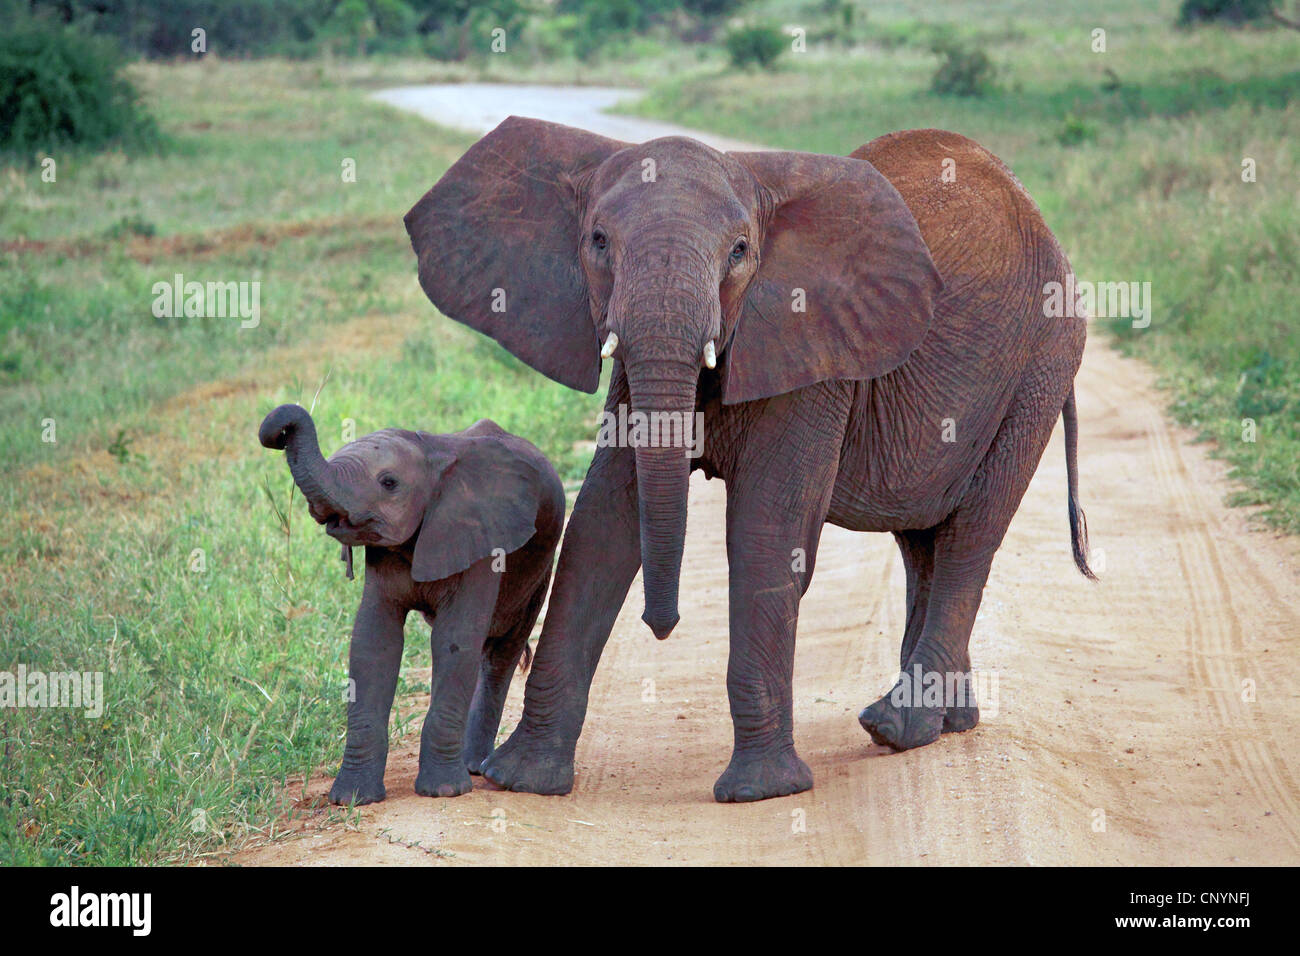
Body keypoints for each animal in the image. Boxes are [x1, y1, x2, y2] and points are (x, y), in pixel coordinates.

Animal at [258, 400, 564, 806]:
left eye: (389, 483)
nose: (278, 432)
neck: (431, 450)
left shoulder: (481, 536)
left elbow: (454, 641)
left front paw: (444, 792)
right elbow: (374, 642)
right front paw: (352, 799)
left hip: (539, 569)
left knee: (501, 654)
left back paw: (475, 767)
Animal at [400, 121, 1092, 806]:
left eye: (738, 251)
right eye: (596, 241)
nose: (662, 624)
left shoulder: (813, 350)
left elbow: (766, 532)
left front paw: (762, 792)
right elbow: (602, 522)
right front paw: (521, 781)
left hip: (1042, 365)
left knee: (972, 534)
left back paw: (897, 729)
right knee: (924, 540)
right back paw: (947, 724)